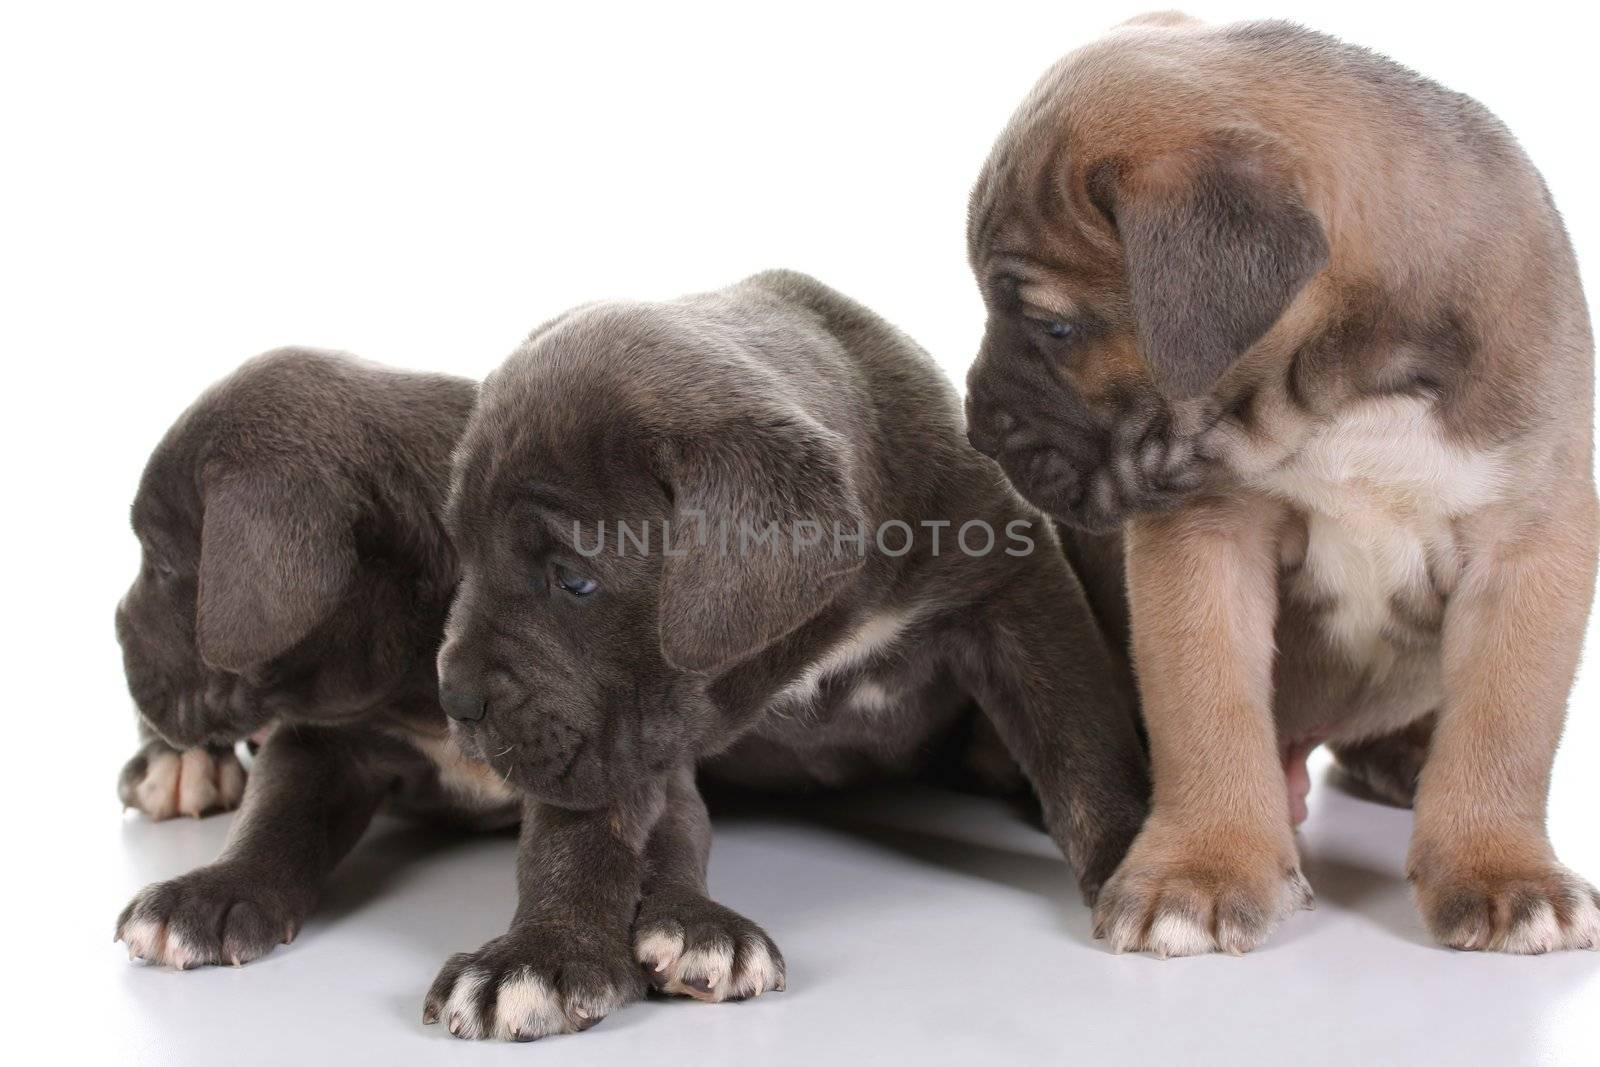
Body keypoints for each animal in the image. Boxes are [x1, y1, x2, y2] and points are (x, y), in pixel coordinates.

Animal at [116, 348, 515, 966]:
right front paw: (208, 896)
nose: (115, 624)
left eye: (160, 564)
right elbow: (278, 812)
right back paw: (179, 766)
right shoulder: (321, 738)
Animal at [425, 268, 1152, 1043]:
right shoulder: (614, 731)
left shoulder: (1016, 589)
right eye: (463, 552)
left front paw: (1140, 860)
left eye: (575, 579)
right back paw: (695, 927)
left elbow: (1082, 739)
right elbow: (584, 824)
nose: (455, 698)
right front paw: (544, 951)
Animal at [960, 14, 1600, 953]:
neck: (1347, 383)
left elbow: (1503, 723)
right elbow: (1206, 708)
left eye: (1055, 328)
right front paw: (1201, 867)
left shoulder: (1526, 544)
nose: (978, 427)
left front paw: (1500, 869)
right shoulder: (1205, 538)